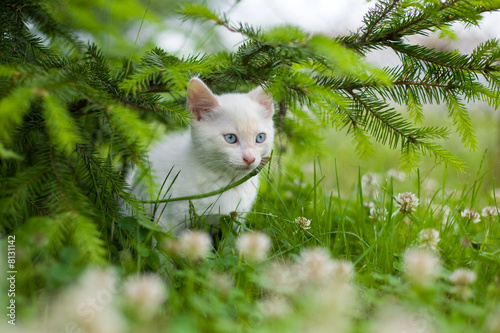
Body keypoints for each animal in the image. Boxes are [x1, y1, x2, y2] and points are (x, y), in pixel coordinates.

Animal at [131, 78, 276, 232]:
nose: (250, 158)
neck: (226, 180)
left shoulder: (236, 219)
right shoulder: (166, 217)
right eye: (230, 138)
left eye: (260, 137)